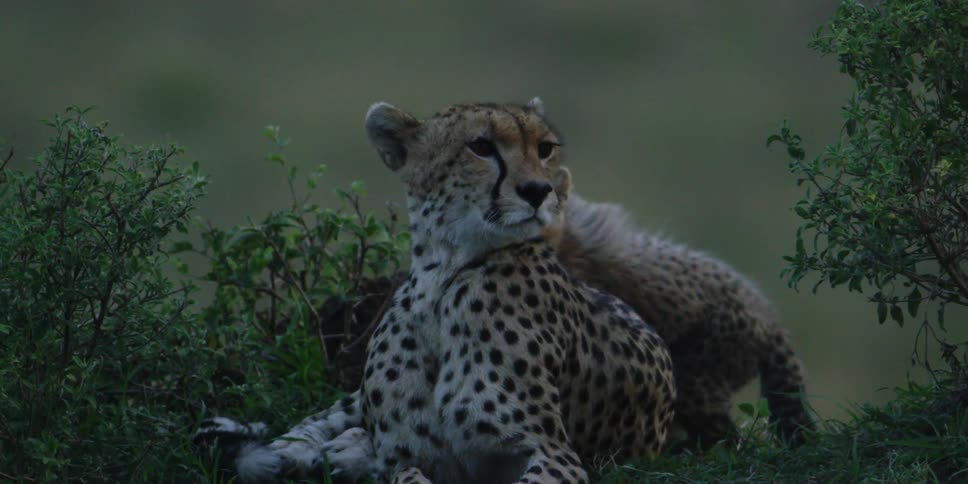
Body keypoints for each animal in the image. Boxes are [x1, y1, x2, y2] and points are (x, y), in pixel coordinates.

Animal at [194, 98, 677, 483]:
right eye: (481, 146)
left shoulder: (553, 452)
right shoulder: (408, 457)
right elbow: (403, 469)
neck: (444, 276)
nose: (539, 190)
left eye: (544, 149)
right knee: (318, 424)